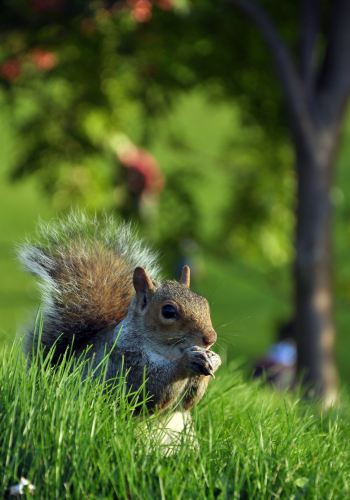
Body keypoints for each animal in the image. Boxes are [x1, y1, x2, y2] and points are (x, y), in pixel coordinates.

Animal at [18, 213, 221, 412]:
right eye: (168, 311)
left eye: (205, 303)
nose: (210, 338)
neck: (167, 353)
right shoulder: (125, 360)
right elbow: (147, 393)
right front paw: (187, 361)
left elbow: (188, 402)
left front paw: (214, 359)